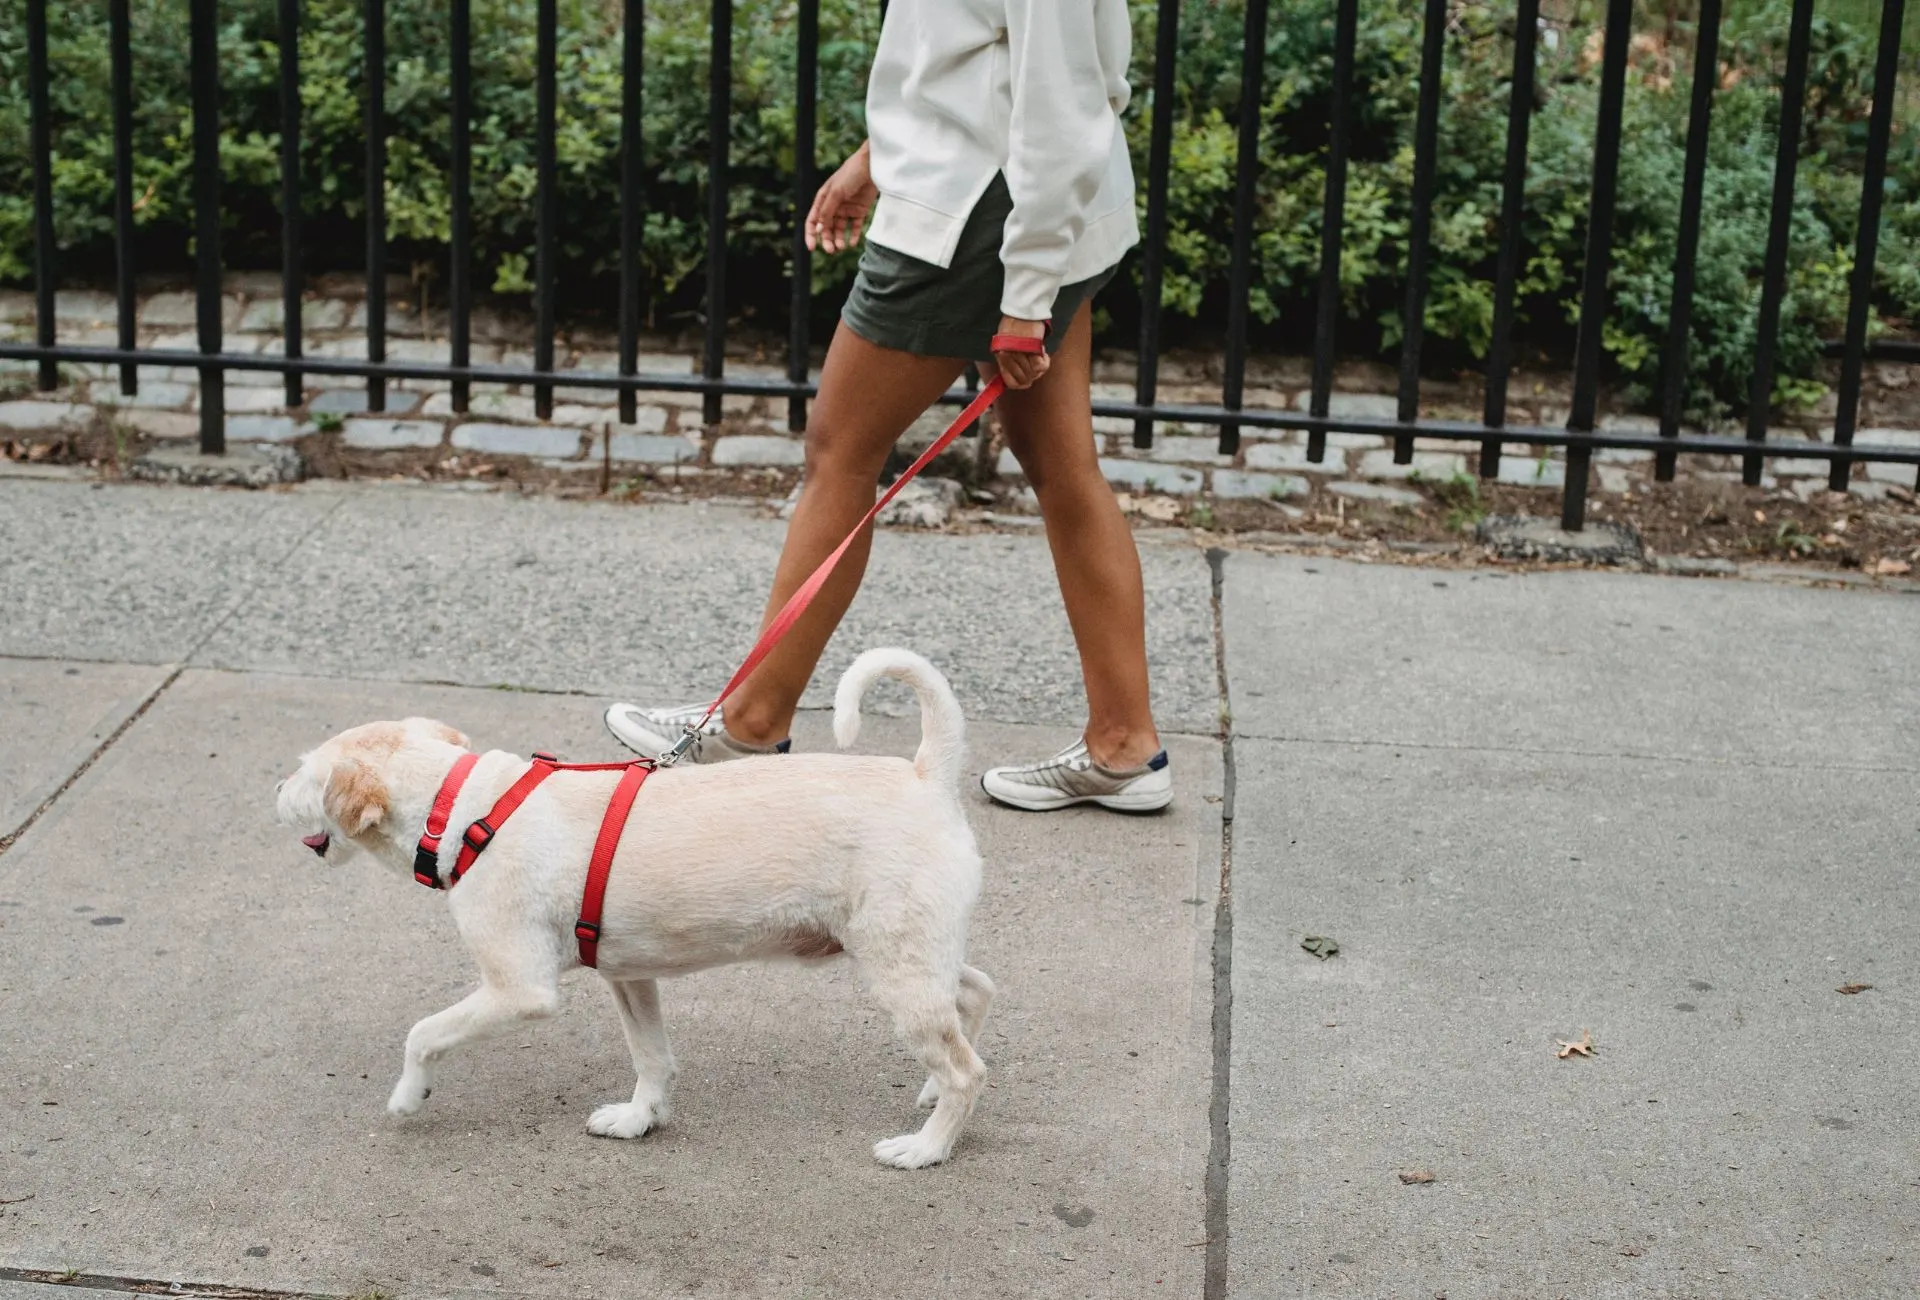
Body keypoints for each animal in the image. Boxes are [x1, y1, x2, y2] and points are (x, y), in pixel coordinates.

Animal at [278, 649, 998, 1167]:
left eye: (306, 773)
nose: (275, 789)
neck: (463, 807)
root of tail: (927, 776)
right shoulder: (629, 976)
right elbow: (652, 1058)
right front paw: (639, 1119)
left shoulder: (519, 992)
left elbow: (423, 1034)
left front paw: (408, 1096)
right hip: (909, 953)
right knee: (976, 992)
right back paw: (932, 1093)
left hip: (897, 968)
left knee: (969, 1071)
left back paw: (928, 1147)